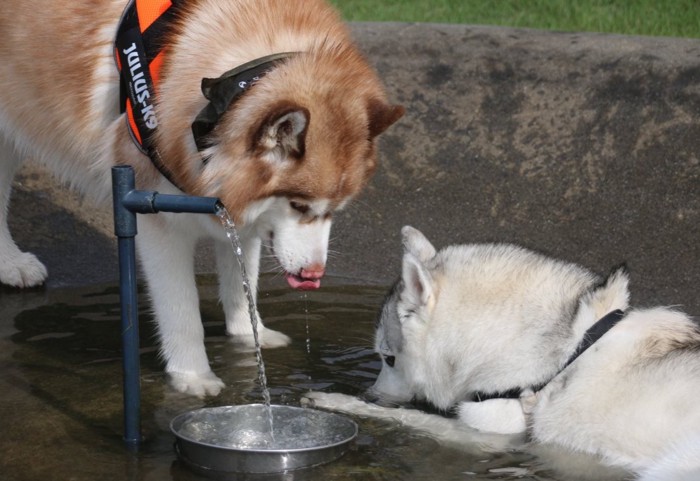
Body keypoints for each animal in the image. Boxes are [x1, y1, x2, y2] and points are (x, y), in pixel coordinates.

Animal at [0, 0, 402, 396]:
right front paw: (193, 375)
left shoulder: (236, 209)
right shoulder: (153, 215)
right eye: (299, 205)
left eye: (336, 210)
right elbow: (181, 308)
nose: (313, 276)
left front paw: (251, 334)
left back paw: (10, 264)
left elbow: (242, 283)